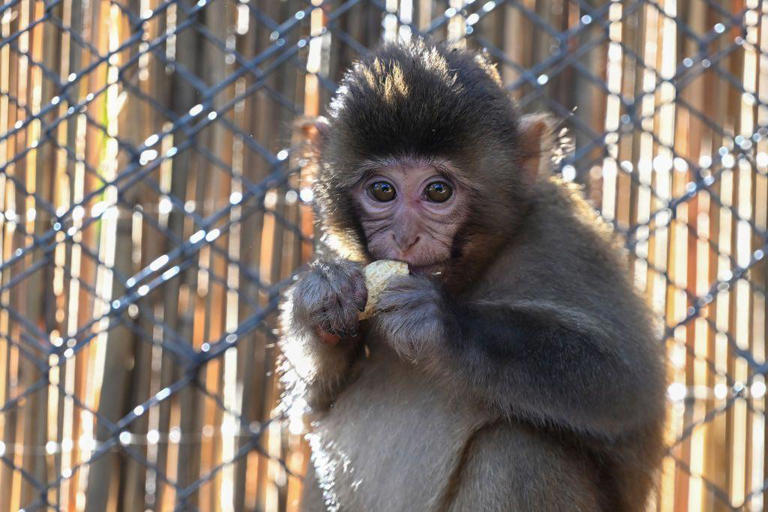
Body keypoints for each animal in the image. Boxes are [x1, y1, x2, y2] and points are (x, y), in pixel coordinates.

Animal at [278, 40, 664, 512]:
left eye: (438, 191)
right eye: (382, 190)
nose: (405, 236)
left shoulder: (566, 237)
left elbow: (627, 386)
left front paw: (441, 324)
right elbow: (312, 407)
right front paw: (321, 296)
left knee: (519, 449)